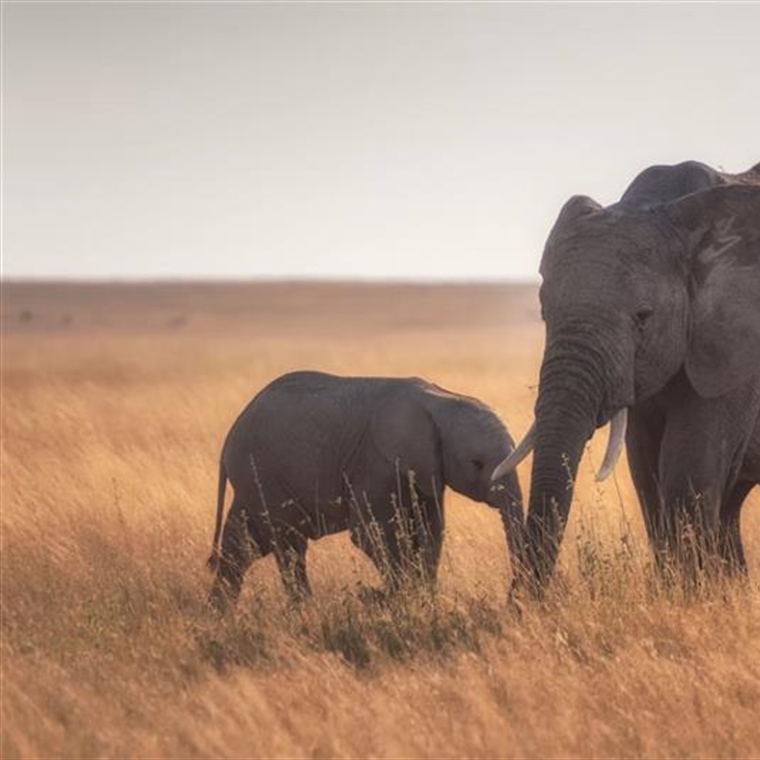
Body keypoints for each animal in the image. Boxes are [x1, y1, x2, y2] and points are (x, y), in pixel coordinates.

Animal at [207, 371, 524, 608]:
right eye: (477, 463)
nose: (511, 599)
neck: (441, 400)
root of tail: (231, 433)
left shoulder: (426, 472)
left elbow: (431, 531)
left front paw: (423, 601)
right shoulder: (376, 463)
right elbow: (371, 533)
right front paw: (398, 600)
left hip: (255, 480)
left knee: (243, 543)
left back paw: (220, 614)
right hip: (263, 474)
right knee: (289, 545)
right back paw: (304, 610)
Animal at [492, 159, 760, 594]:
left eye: (643, 317)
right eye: (545, 312)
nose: (519, 603)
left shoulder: (736, 350)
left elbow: (688, 471)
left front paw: (690, 599)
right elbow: (647, 472)